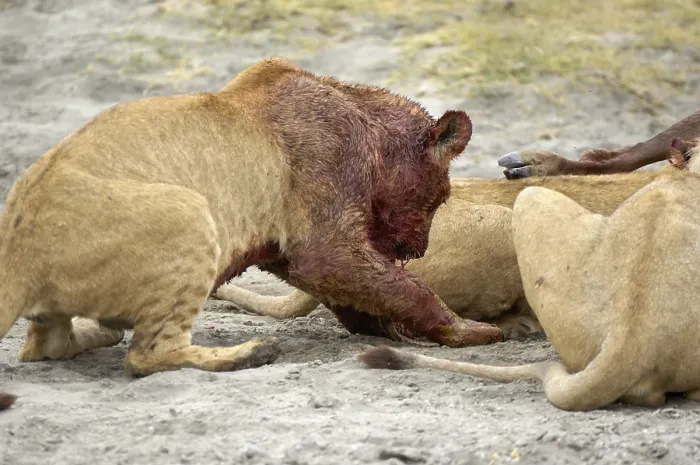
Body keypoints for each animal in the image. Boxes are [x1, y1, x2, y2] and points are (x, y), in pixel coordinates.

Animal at [0, 56, 503, 389]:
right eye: (442, 197)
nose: (418, 248)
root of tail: (19, 254)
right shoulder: (324, 239)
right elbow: (405, 288)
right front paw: (467, 331)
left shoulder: (285, 250)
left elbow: (363, 296)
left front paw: (390, 332)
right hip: (189, 215)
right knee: (147, 356)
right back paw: (250, 353)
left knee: (42, 346)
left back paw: (96, 334)